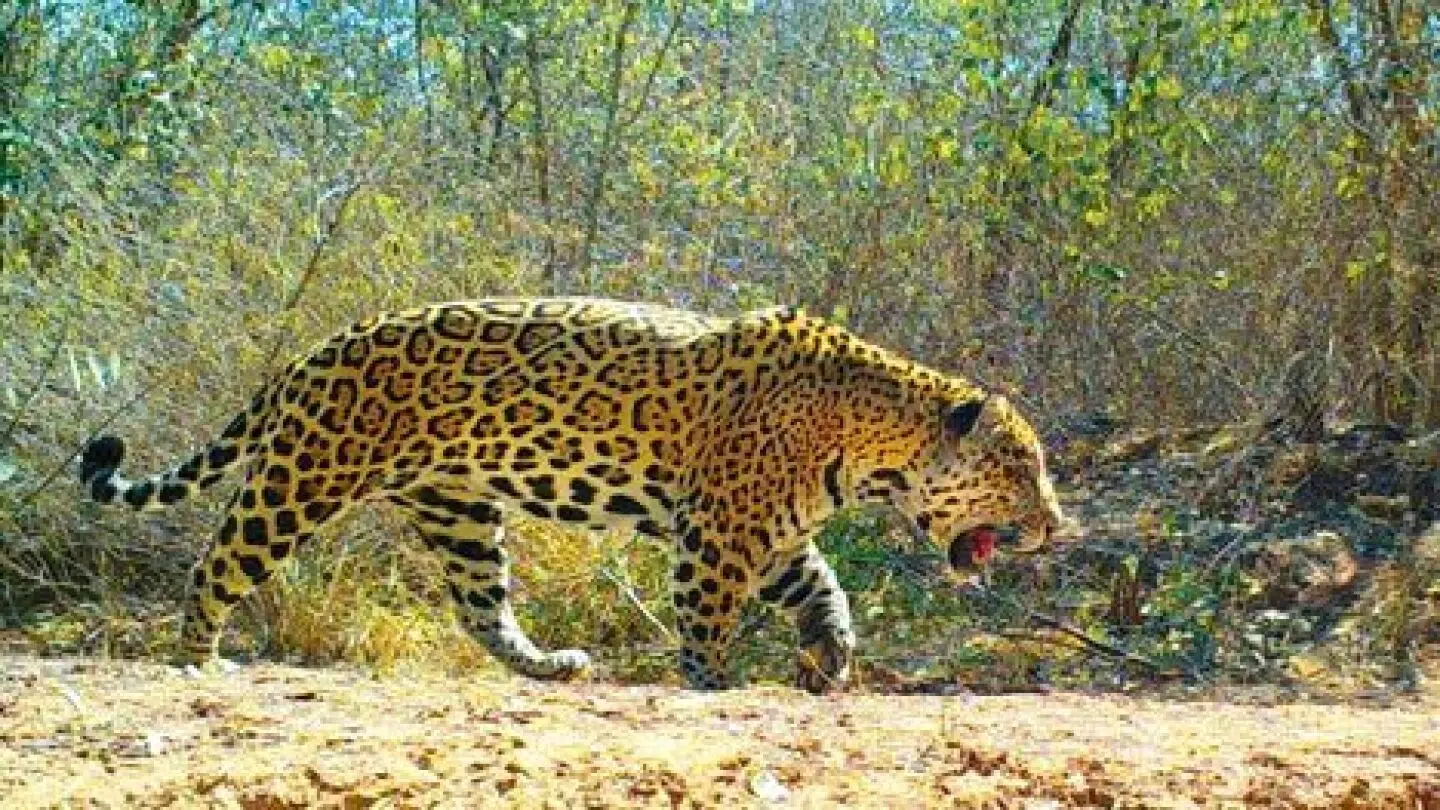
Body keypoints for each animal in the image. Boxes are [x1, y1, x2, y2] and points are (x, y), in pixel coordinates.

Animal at [78, 297, 1066, 692]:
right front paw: (712, 687)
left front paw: (829, 657)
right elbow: (707, 621)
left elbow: (824, 587)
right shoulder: (719, 532)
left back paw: (550, 665)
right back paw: (198, 658)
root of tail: (310, 353)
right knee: (216, 562)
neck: (871, 438)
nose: (1057, 526)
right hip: (303, 476)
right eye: (1023, 468)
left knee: (483, 609)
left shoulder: (770, 531)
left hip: (459, 511)